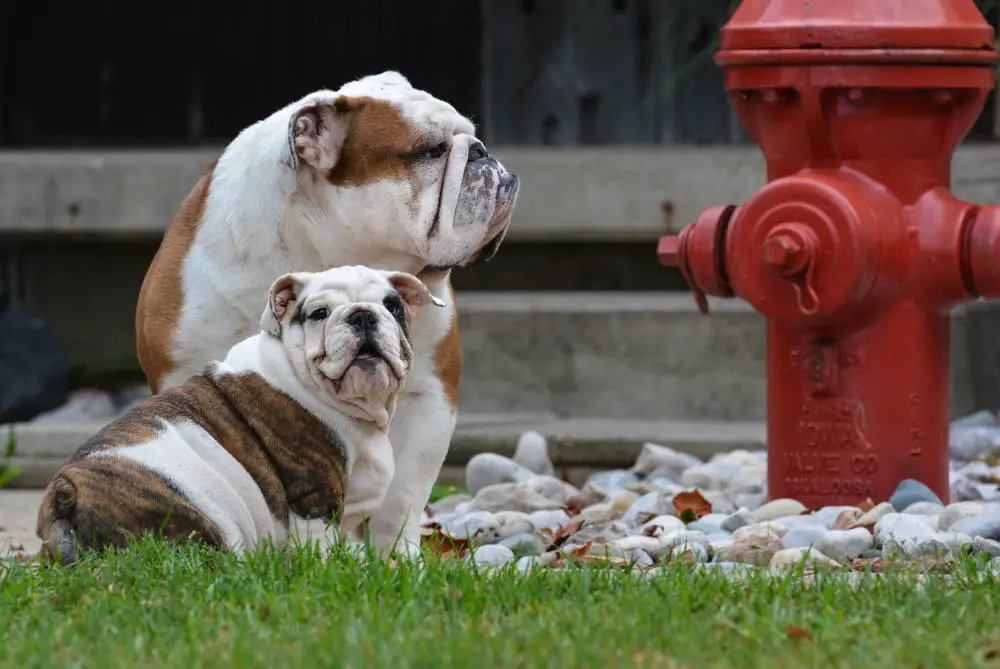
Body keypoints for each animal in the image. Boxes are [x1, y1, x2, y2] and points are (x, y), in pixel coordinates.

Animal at [39, 266, 438, 564]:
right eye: (319, 313)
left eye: (393, 306)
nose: (363, 315)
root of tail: (66, 489)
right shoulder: (313, 498)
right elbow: (320, 545)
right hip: (194, 520)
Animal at [138, 70, 524, 556]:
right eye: (431, 150)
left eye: (472, 136)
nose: (482, 152)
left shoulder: (430, 398)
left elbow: (401, 496)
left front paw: (394, 557)